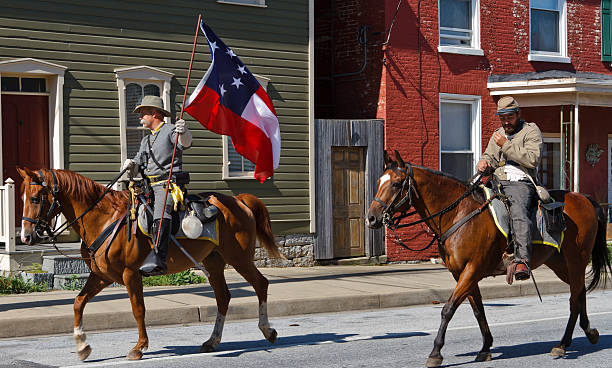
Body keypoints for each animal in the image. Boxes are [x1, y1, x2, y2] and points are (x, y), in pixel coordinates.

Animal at [17, 168, 284, 360]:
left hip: (239, 258)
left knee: (261, 284)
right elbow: (78, 302)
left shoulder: (130, 274)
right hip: (214, 261)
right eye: (22, 198)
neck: (104, 218)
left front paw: (139, 347)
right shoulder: (102, 276)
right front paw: (83, 346)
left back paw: (268, 330)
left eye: (36, 198)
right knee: (223, 297)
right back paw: (212, 341)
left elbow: (138, 309)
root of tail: (239, 201)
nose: (26, 236)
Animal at [366, 151, 608, 366]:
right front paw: (485, 348)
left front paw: (436, 352)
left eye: (396, 184)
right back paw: (589, 333)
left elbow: (448, 309)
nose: (371, 218)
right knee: (580, 292)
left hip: (576, 260)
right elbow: (478, 310)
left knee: (574, 298)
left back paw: (563, 344)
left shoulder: (472, 270)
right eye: (379, 181)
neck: (459, 214)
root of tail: (584, 198)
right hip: (560, 264)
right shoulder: (462, 274)